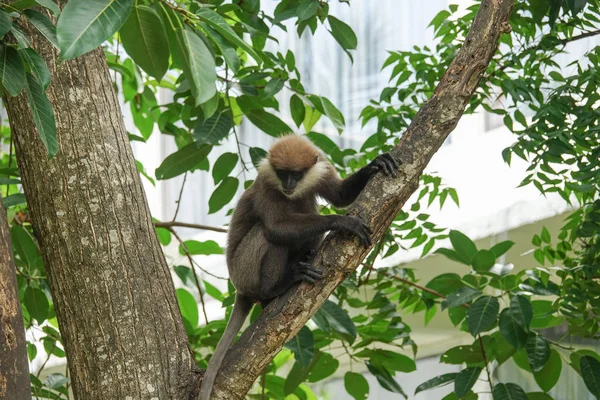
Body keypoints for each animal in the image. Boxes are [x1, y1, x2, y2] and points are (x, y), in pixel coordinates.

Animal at [199, 134, 400, 400]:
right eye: (282, 173)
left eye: (295, 174)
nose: (288, 184)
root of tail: (239, 287)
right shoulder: (266, 183)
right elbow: (276, 228)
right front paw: (342, 221)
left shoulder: (321, 166)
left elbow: (341, 196)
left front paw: (376, 163)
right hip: (244, 270)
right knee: (268, 235)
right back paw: (276, 288)